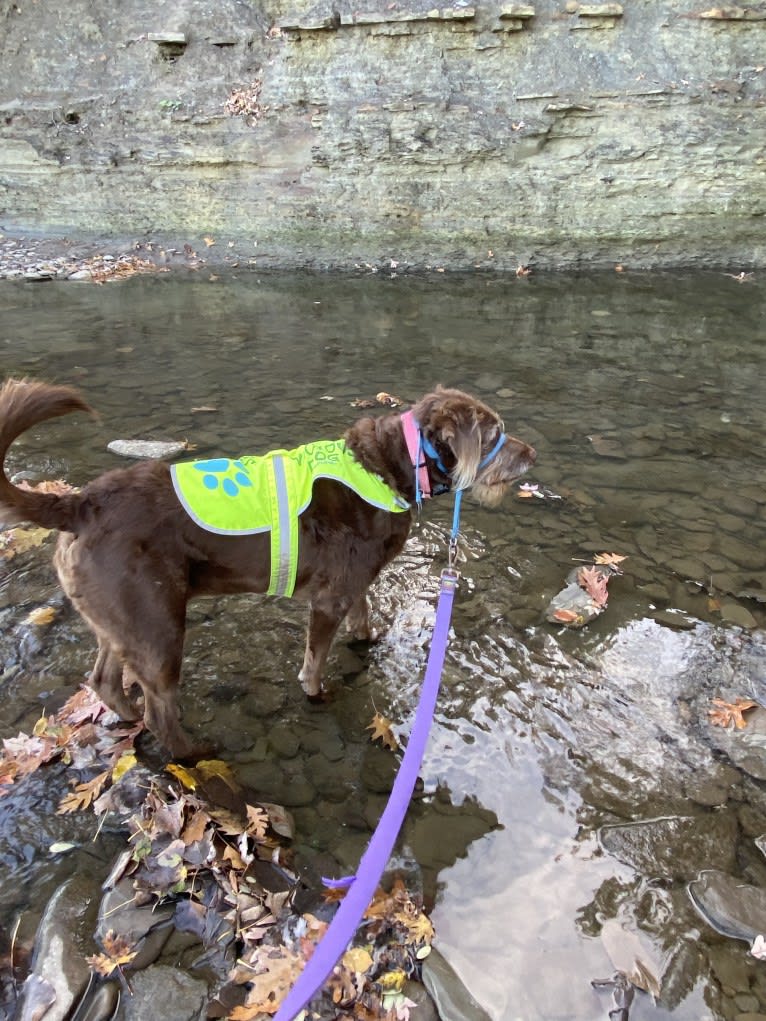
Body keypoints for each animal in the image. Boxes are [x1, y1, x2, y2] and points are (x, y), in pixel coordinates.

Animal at [0, 379, 535, 755]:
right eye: (493, 434)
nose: (532, 453)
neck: (391, 465)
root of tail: (79, 504)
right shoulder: (329, 599)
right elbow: (315, 662)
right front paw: (316, 693)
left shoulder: (356, 583)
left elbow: (363, 619)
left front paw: (368, 641)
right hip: (158, 625)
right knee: (160, 713)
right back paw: (196, 753)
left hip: (121, 620)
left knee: (107, 682)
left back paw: (129, 716)